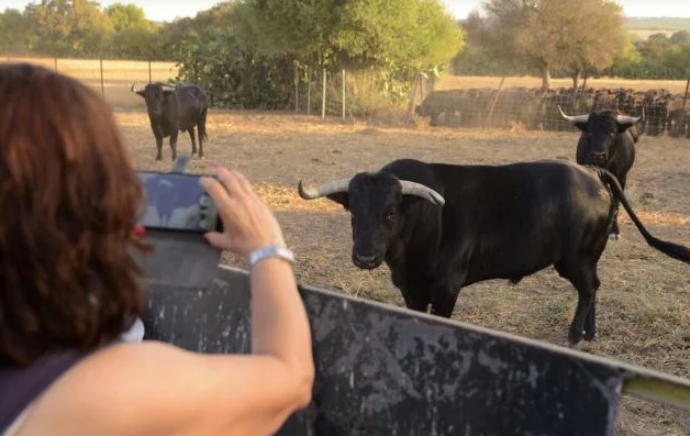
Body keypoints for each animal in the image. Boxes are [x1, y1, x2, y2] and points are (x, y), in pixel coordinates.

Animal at [296, 158, 688, 346]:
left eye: (391, 213)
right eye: (353, 212)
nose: (364, 257)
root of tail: (590, 172)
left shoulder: (447, 287)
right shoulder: (411, 288)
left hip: (575, 257)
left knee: (589, 288)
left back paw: (576, 334)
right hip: (585, 257)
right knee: (594, 287)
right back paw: (590, 333)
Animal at [556, 107, 644, 240]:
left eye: (612, 132)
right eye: (590, 132)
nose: (598, 155)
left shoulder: (620, 179)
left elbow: (617, 203)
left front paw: (614, 231)